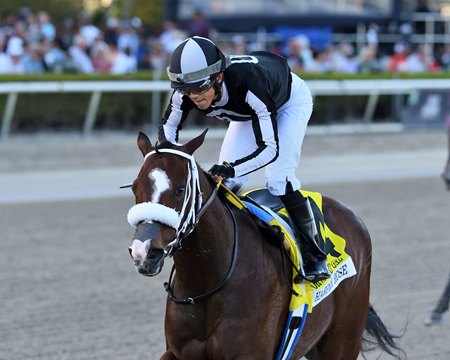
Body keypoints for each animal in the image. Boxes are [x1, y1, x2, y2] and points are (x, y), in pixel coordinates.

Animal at [126, 130, 404, 360]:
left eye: (180, 190)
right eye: (135, 187)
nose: (144, 252)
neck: (207, 281)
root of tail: (351, 215)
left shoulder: (249, 355)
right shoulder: (177, 352)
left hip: (342, 341)